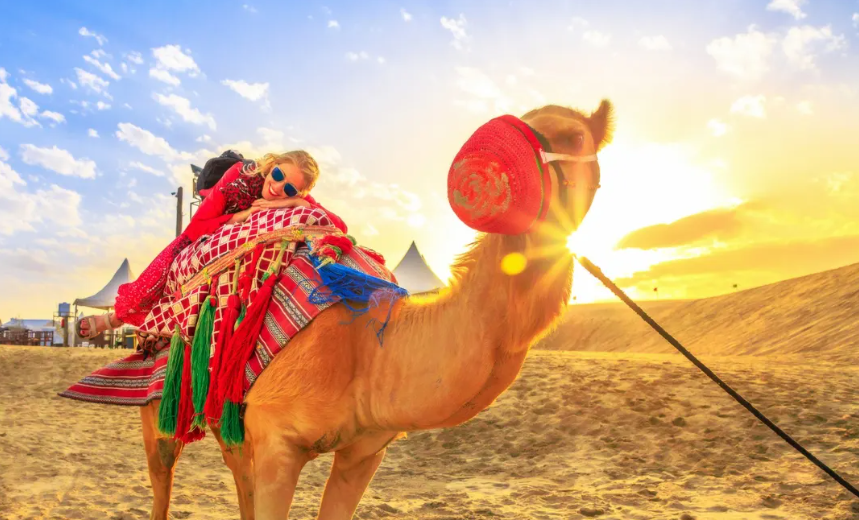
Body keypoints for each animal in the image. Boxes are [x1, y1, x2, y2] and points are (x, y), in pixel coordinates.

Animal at [137, 99, 614, 520]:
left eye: (576, 136)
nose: (485, 170)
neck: (372, 349)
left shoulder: (365, 452)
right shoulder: (278, 441)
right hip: (161, 404)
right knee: (162, 473)